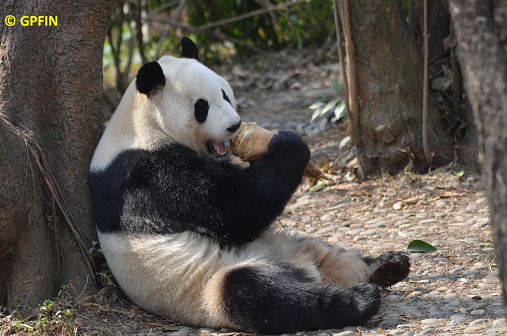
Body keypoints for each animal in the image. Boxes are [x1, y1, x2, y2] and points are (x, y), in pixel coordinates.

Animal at [89, 37, 410, 336]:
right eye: (201, 107)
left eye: (225, 94)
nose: (234, 125)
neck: (143, 122)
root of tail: (302, 266)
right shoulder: (147, 175)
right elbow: (230, 209)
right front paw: (289, 144)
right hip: (204, 283)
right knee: (260, 293)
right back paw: (360, 299)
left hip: (293, 245)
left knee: (330, 254)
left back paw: (386, 265)